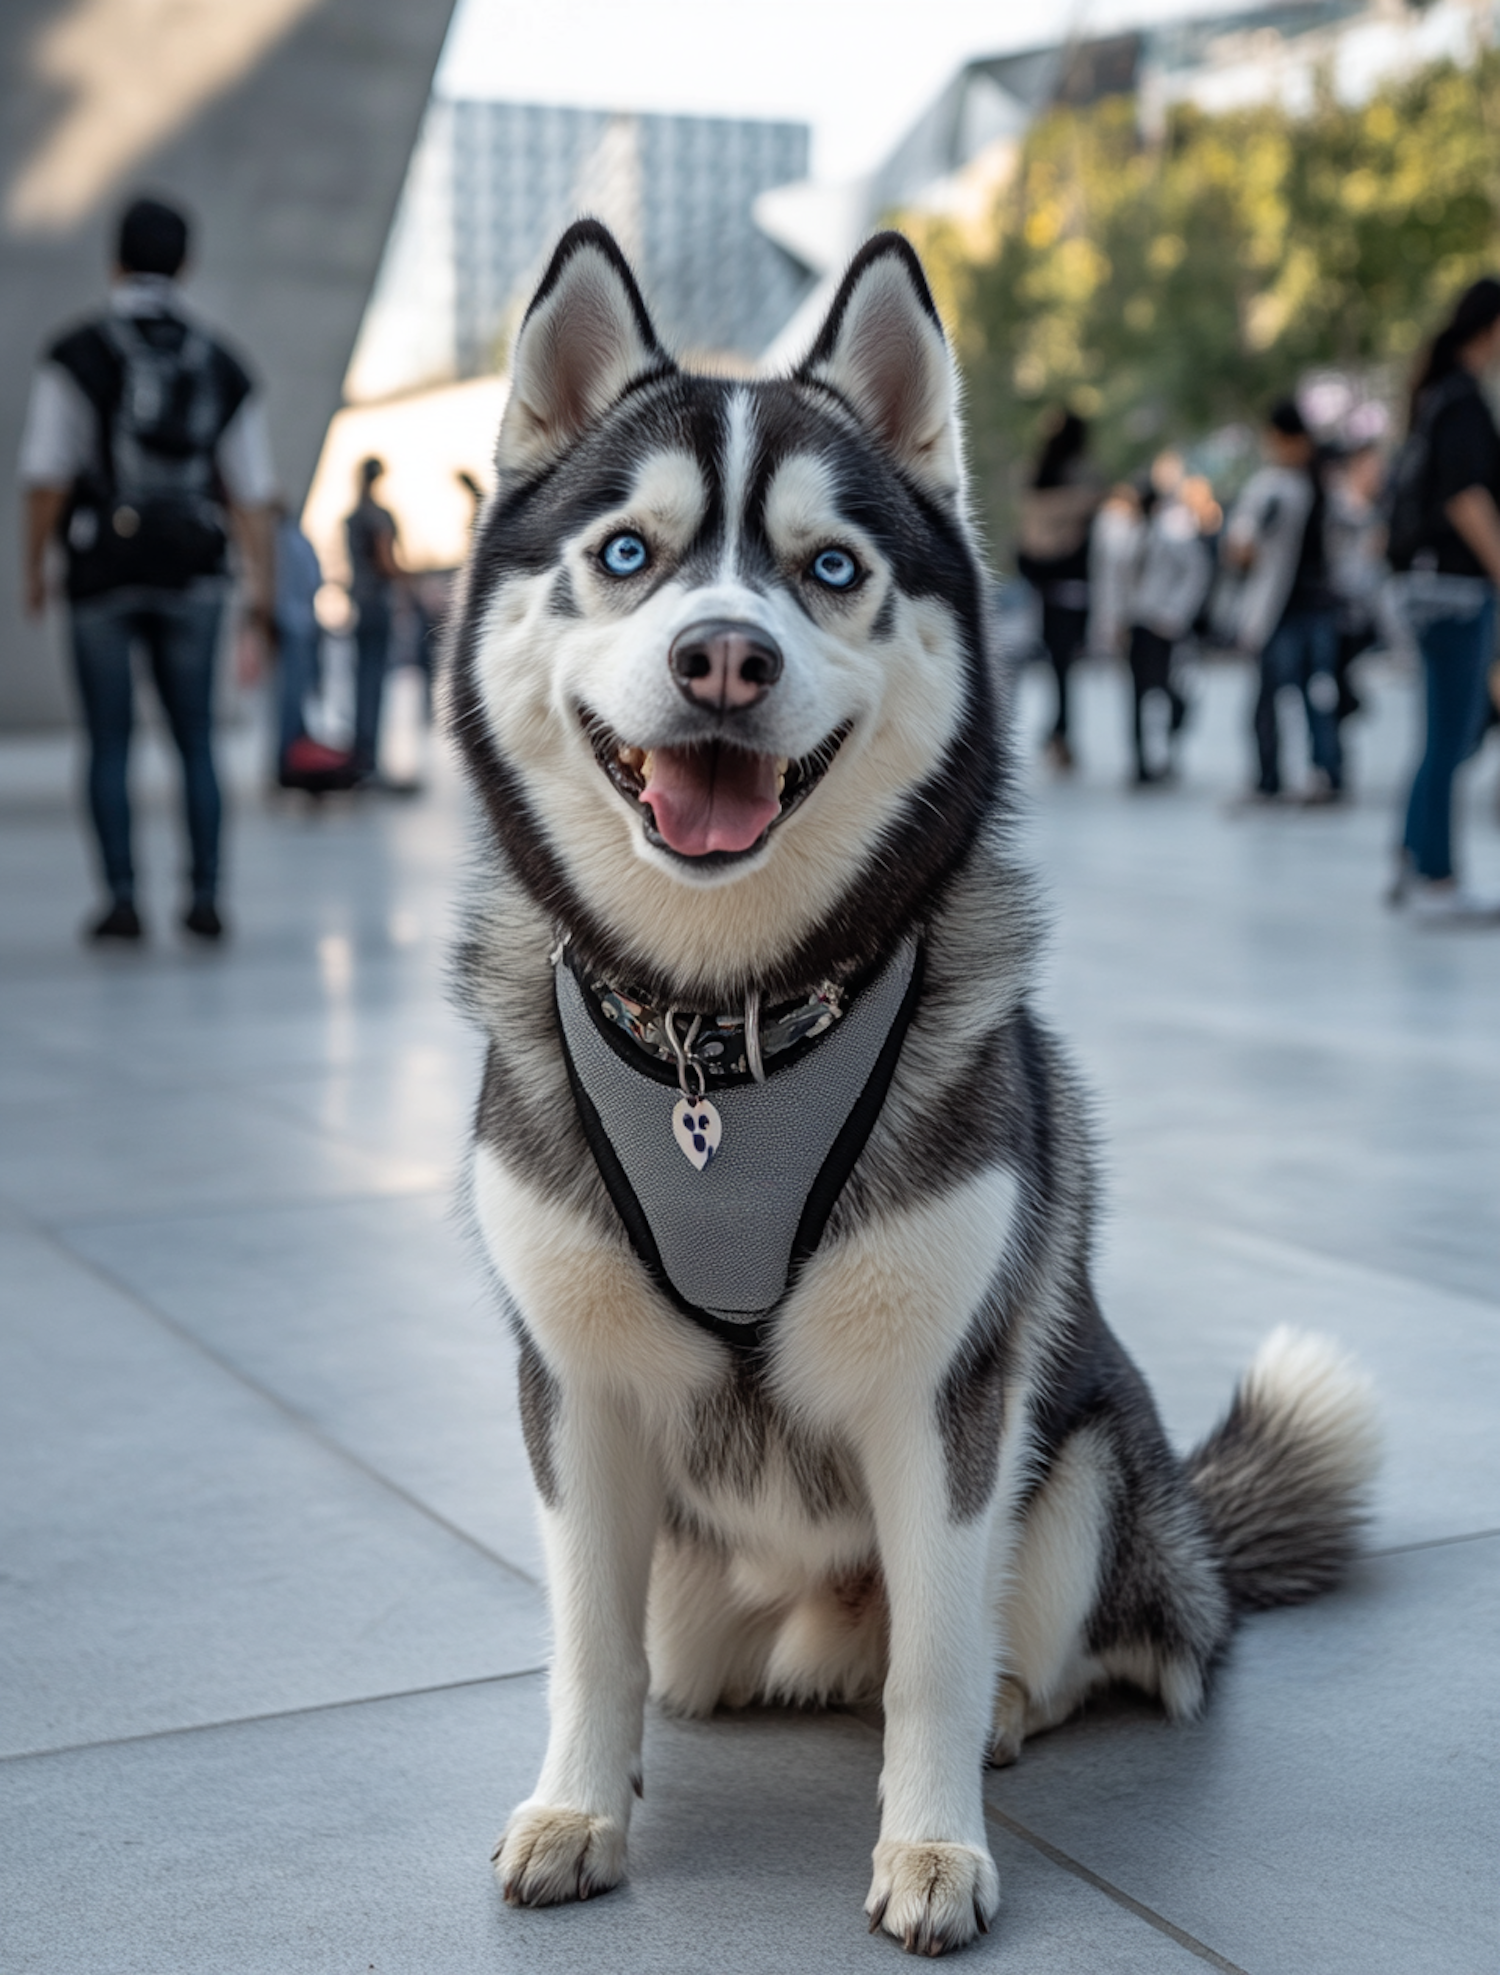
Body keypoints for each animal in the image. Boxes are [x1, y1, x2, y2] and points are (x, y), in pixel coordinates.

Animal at [448, 224, 1383, 1951]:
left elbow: (937, 1659)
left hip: (1085, 1460)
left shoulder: (947, 1397)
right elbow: (587, 1641)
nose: (723, 654)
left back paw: (1015, 1699)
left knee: (1070, 1644)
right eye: (628, 552)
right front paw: (576, 1806)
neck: (723, 1024)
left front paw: (935, 1845)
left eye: (829, 569)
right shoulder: (576, 1386)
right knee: (685, 1659)